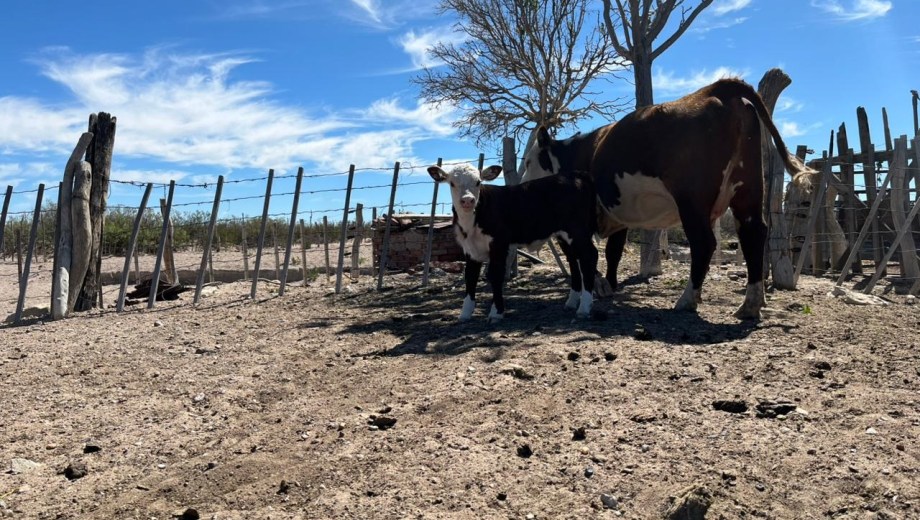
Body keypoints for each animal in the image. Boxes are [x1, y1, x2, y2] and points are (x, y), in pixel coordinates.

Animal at [427, 163, 598, 322]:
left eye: (478, 182)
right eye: (452, 183)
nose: (468, 200)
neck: (472, 222)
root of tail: (576, 174)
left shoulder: (499, 244)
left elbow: (495, 275)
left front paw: (496, 313)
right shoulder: (470, 249)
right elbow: (470, 277)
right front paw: (465, 314)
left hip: (577, 230)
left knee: (589, 256)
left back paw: (584, 308)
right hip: (563, 235)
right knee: (573, 260)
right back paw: (572, 302)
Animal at [520, 78, 816, 320]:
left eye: (528, 161)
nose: (522, 183)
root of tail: (716, 89)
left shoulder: (572, 227)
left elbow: (578, 261)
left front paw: (581, 296)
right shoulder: (617, 215)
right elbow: (613, 252)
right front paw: (608, 287)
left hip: (692, 201)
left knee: (704, 243)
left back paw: (687, 300)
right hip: (747, 191)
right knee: (753, 234)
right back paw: (750, 305)